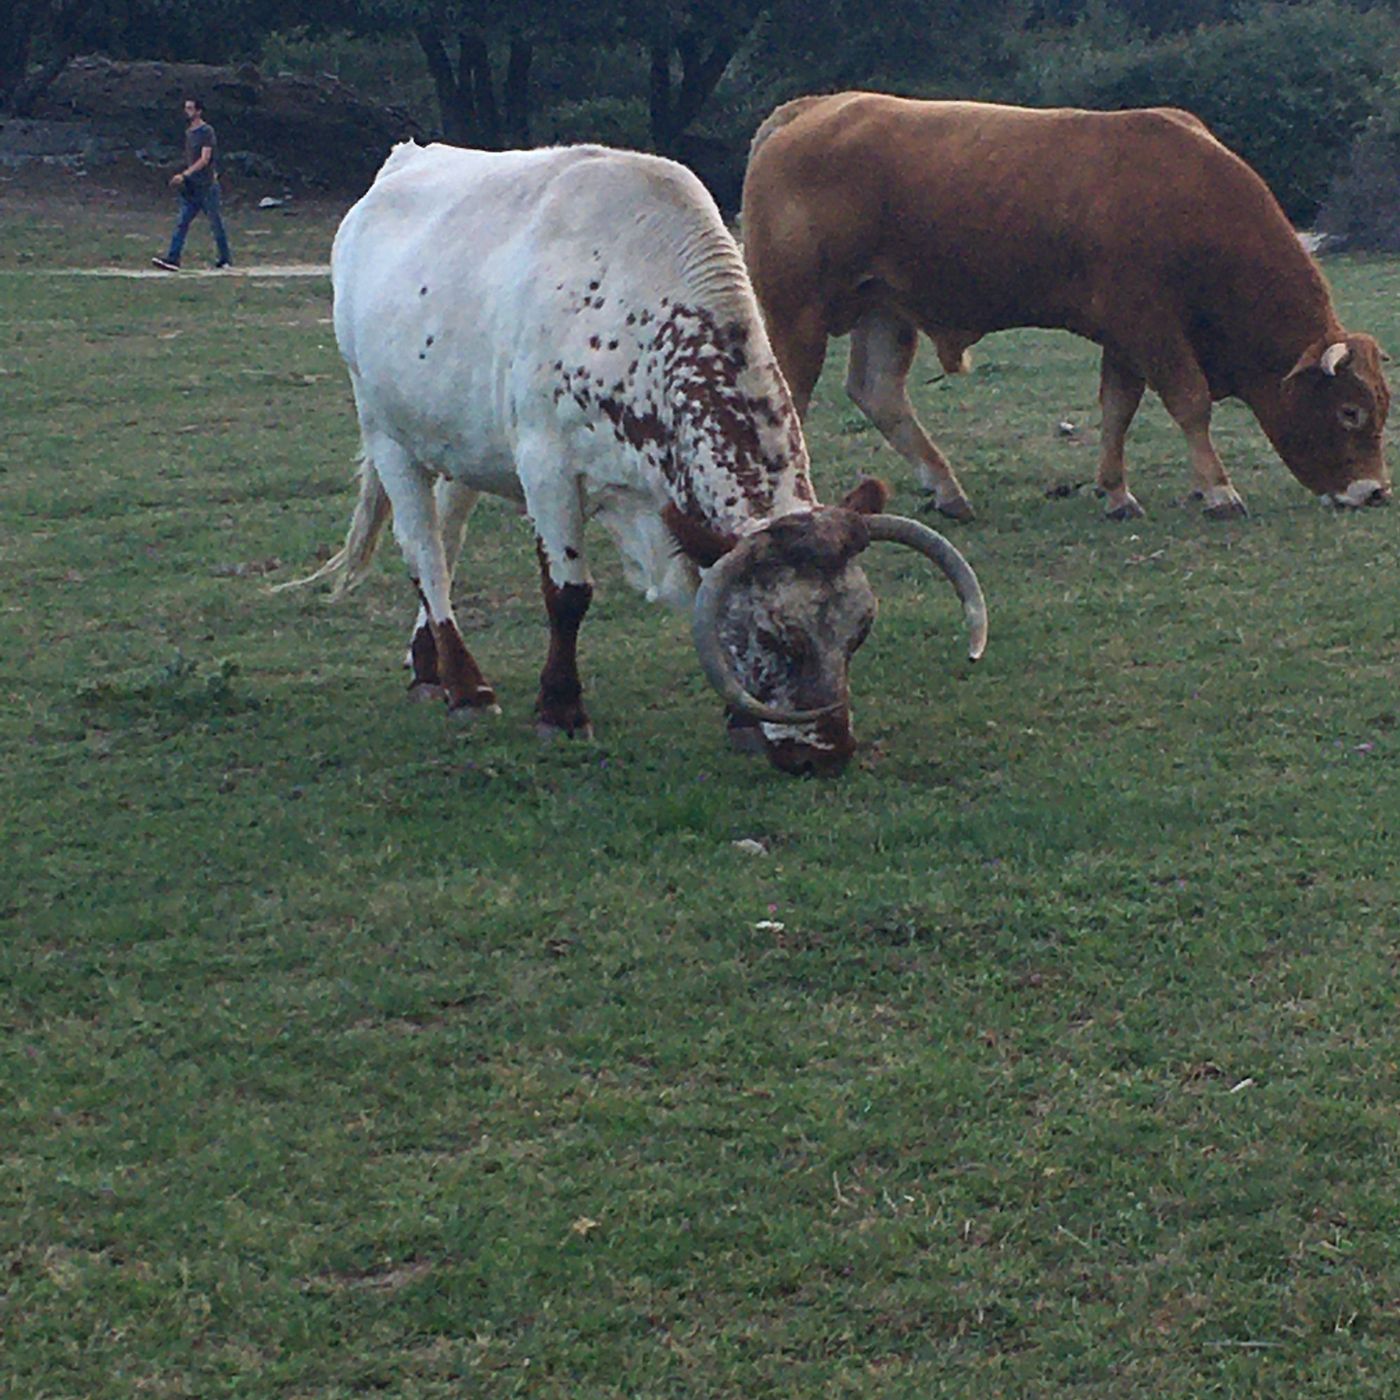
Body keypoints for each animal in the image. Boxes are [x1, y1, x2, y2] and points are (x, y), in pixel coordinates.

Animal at [279, 141, 987, 778]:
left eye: (859, 630)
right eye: (775, 637)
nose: (827, 754)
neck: (635, 310)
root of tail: (402, 161)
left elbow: (704, 586)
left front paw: (739, 721)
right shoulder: (547, 469)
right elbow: (567, 594)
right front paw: (561, 710)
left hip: (460, 444)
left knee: (446, 544)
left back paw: (427, 664)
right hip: (387, 435)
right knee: (423, 550)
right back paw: (464, 685)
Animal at [740, 92, 1391, 522]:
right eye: (1350, 412)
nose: (1376, 492)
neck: (1188, 199)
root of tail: (810, 110)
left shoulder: (1124, 336)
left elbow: (1118, 408)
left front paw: (1116, 493)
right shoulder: (1150, 325)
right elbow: (1190, 401)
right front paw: (1217, 490)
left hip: (885, 311)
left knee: (878, 393)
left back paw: (947, 490)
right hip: (797, 315)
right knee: (788, 401)